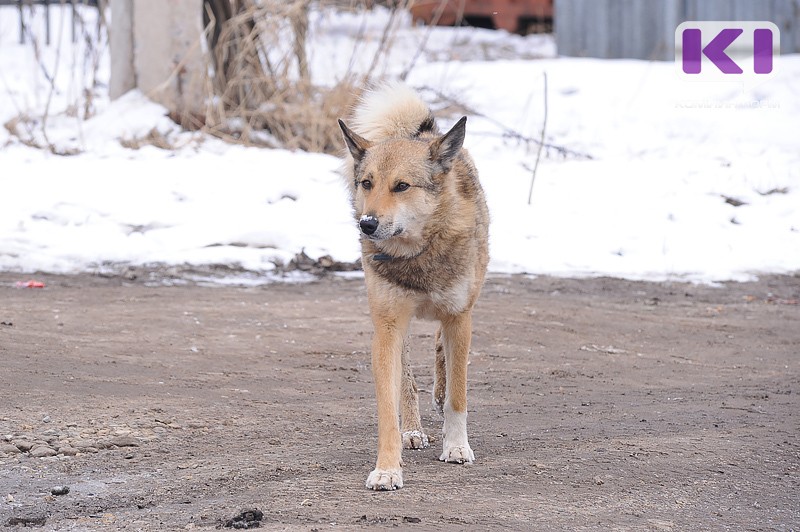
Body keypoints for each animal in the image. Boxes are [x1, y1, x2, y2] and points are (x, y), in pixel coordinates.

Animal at [336, 83, 488, 490]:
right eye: (367, 183)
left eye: (401, 186)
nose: (367, 224)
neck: (417, 254)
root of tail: (420, 133)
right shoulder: (387, 327)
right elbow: (389, 408)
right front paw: (388, 468)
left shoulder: (459, 318)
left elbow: (458, 396)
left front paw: (457, 447)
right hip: (399, 327)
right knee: (407, 381)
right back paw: (414, 430)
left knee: (441, 354)